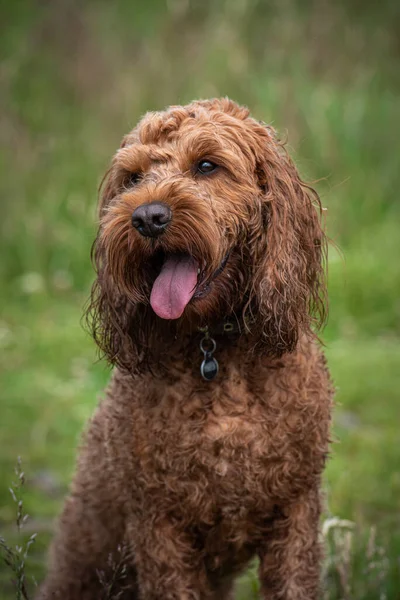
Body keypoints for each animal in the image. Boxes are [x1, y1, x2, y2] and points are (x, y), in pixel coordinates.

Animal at [37, 99, 332, 600]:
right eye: (133, 177)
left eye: (207, 165)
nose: (147, 218)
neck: (215, 348)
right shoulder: (159, 527)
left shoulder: (295, 512)